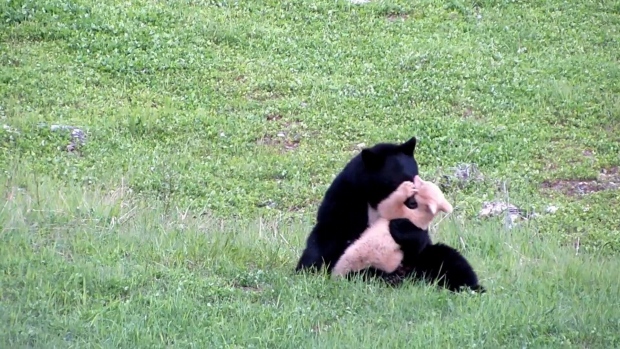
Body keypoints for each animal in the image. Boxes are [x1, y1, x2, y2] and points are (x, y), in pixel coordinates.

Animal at [294, 135, 418, 272]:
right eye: (395, 184)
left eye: (414, 179)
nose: (413, 203)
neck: (376, 200)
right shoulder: (346, 198)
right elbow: (328, 232)